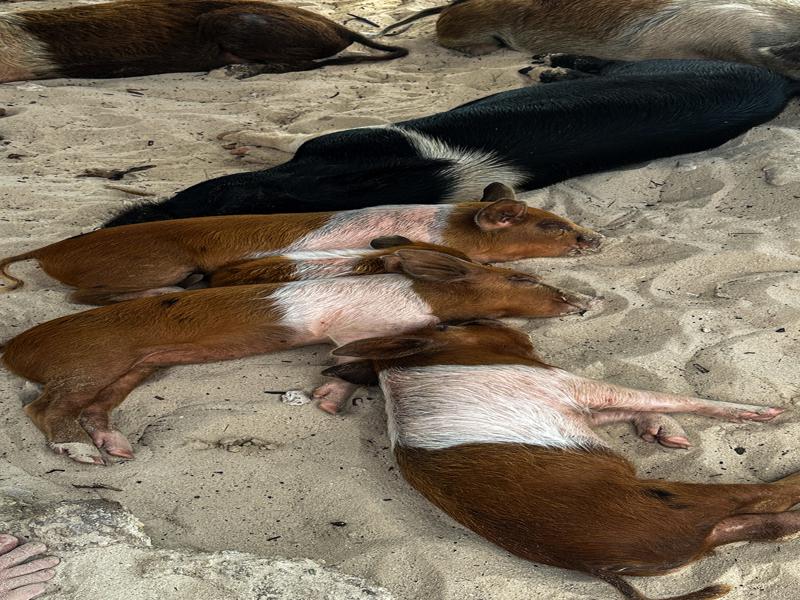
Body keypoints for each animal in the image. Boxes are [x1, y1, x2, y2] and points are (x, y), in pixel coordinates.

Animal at [1, 250, 597, 465]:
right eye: (522, 279)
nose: (583, 302)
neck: (421, 297)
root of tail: (13, 347)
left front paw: (327, 399)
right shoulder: (357, 329)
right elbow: (355, 358)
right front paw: (329, 398)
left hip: (135, 369)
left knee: (93, 409)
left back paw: (118, 450)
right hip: (90, 363)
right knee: (43, 409)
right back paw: (84, 457)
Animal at [327, 320, 793, 600]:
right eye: (452, 323)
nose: (501, 321)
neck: (402, 372)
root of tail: (590, 563)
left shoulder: (580, 410)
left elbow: (639, 407)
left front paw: (663, 435)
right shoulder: (569, 386)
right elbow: (667, 397)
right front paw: (768, 413)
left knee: (769, 525)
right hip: (677, 499)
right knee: (766, 498)